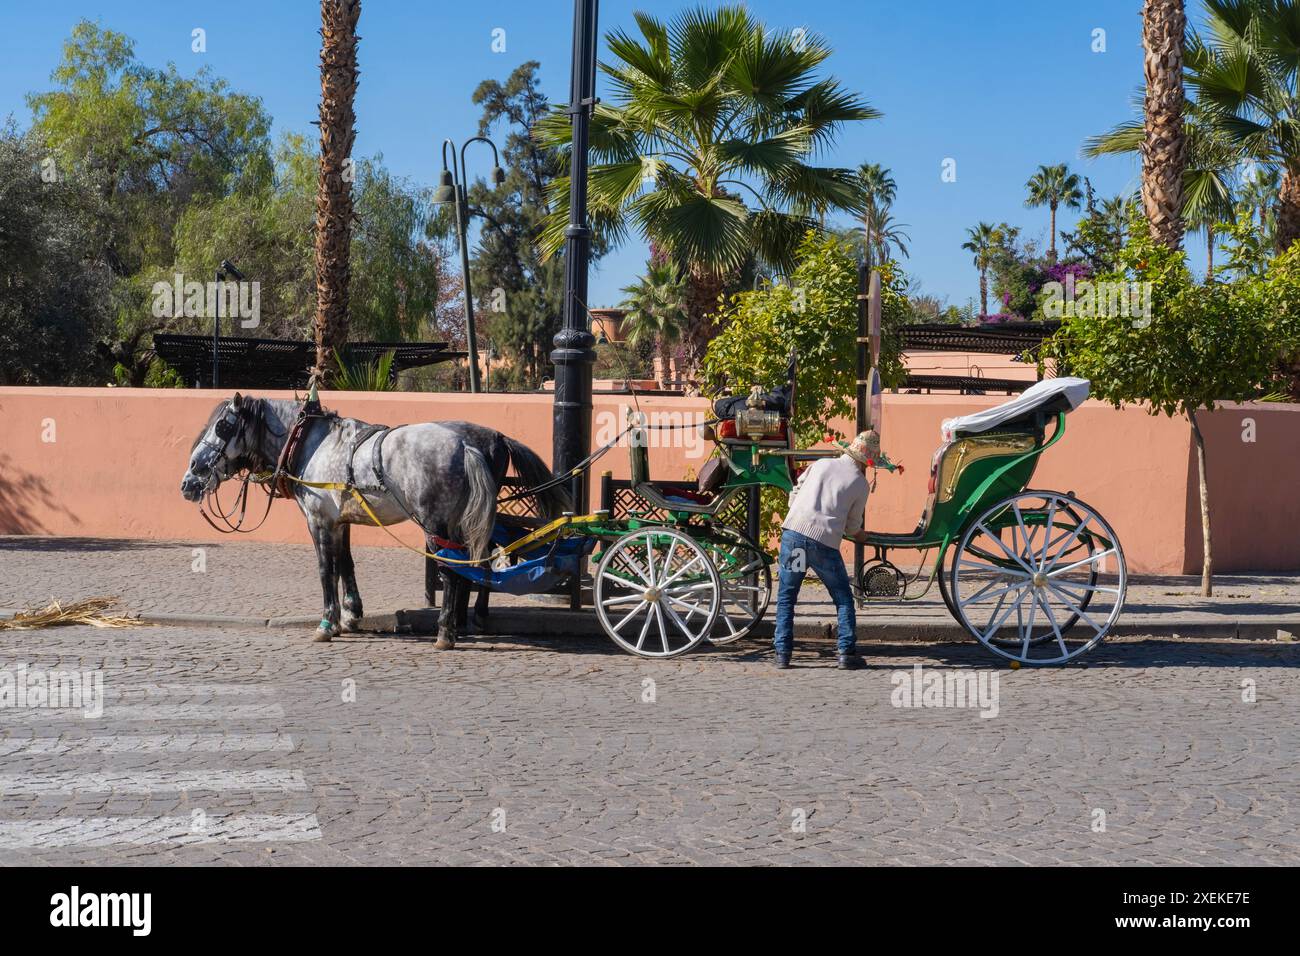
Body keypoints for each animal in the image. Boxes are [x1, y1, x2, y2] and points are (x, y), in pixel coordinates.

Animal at [183, 392, 569, 647]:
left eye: (223, 426)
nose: (190, 480)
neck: (310, 443)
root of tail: (467, 446)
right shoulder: (340, 520)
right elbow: (345, 564)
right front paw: (351, 615)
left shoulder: (318, 520)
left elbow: (325, 569)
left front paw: (328, 622)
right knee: (472, 565)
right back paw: (464, 622)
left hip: (436, 524)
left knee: (453, 570)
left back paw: (447, 631)